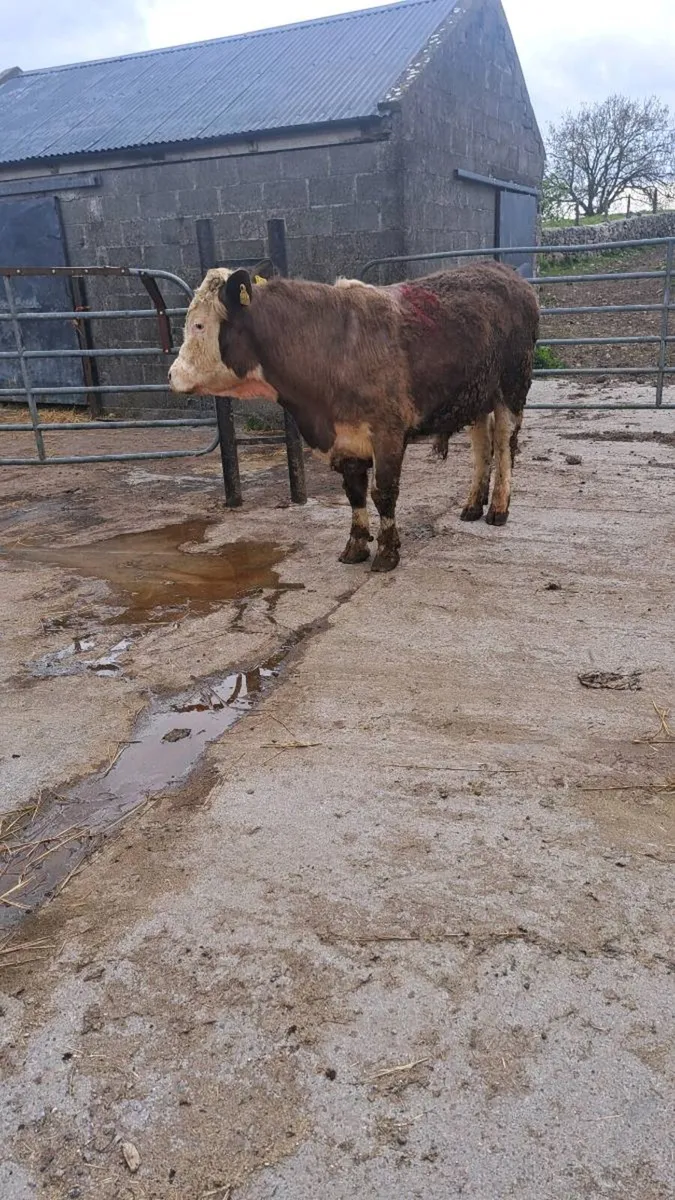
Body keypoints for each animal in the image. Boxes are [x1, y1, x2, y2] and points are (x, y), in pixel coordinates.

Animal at [169, 262, 539, 573]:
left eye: (199, 325)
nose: (171, 375)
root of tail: (504, 271)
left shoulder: (388, 432)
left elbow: (383, 493)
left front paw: (388, 552)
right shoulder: (345, 441)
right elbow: (355, 492)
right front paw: (356, 546)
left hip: (512, 387)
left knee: (504, 445)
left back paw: (498, 508)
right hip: (477, 397)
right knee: (482, 447)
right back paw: (473, 505)